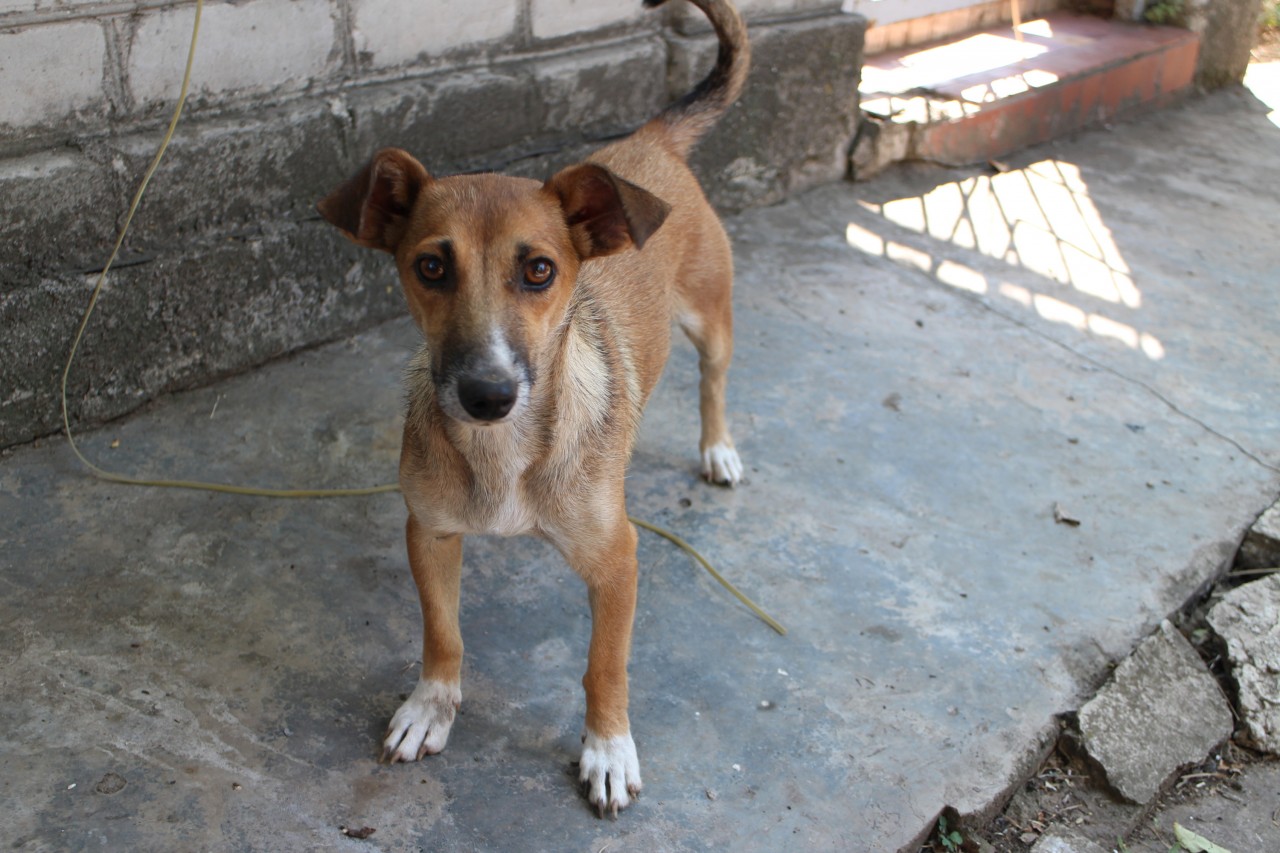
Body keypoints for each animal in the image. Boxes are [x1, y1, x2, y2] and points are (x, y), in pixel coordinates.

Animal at [313, 0, 747, 814]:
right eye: (430, 266)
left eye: (540, 270)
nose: (487, 394)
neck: (503, 452)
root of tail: (646, 141)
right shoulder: (429, 531)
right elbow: (443, 633)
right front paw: (431, 706)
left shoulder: (618, 560)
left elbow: (605, 665)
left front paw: (607, 748)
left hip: (711, 317)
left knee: (713, 380)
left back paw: (718, 449)